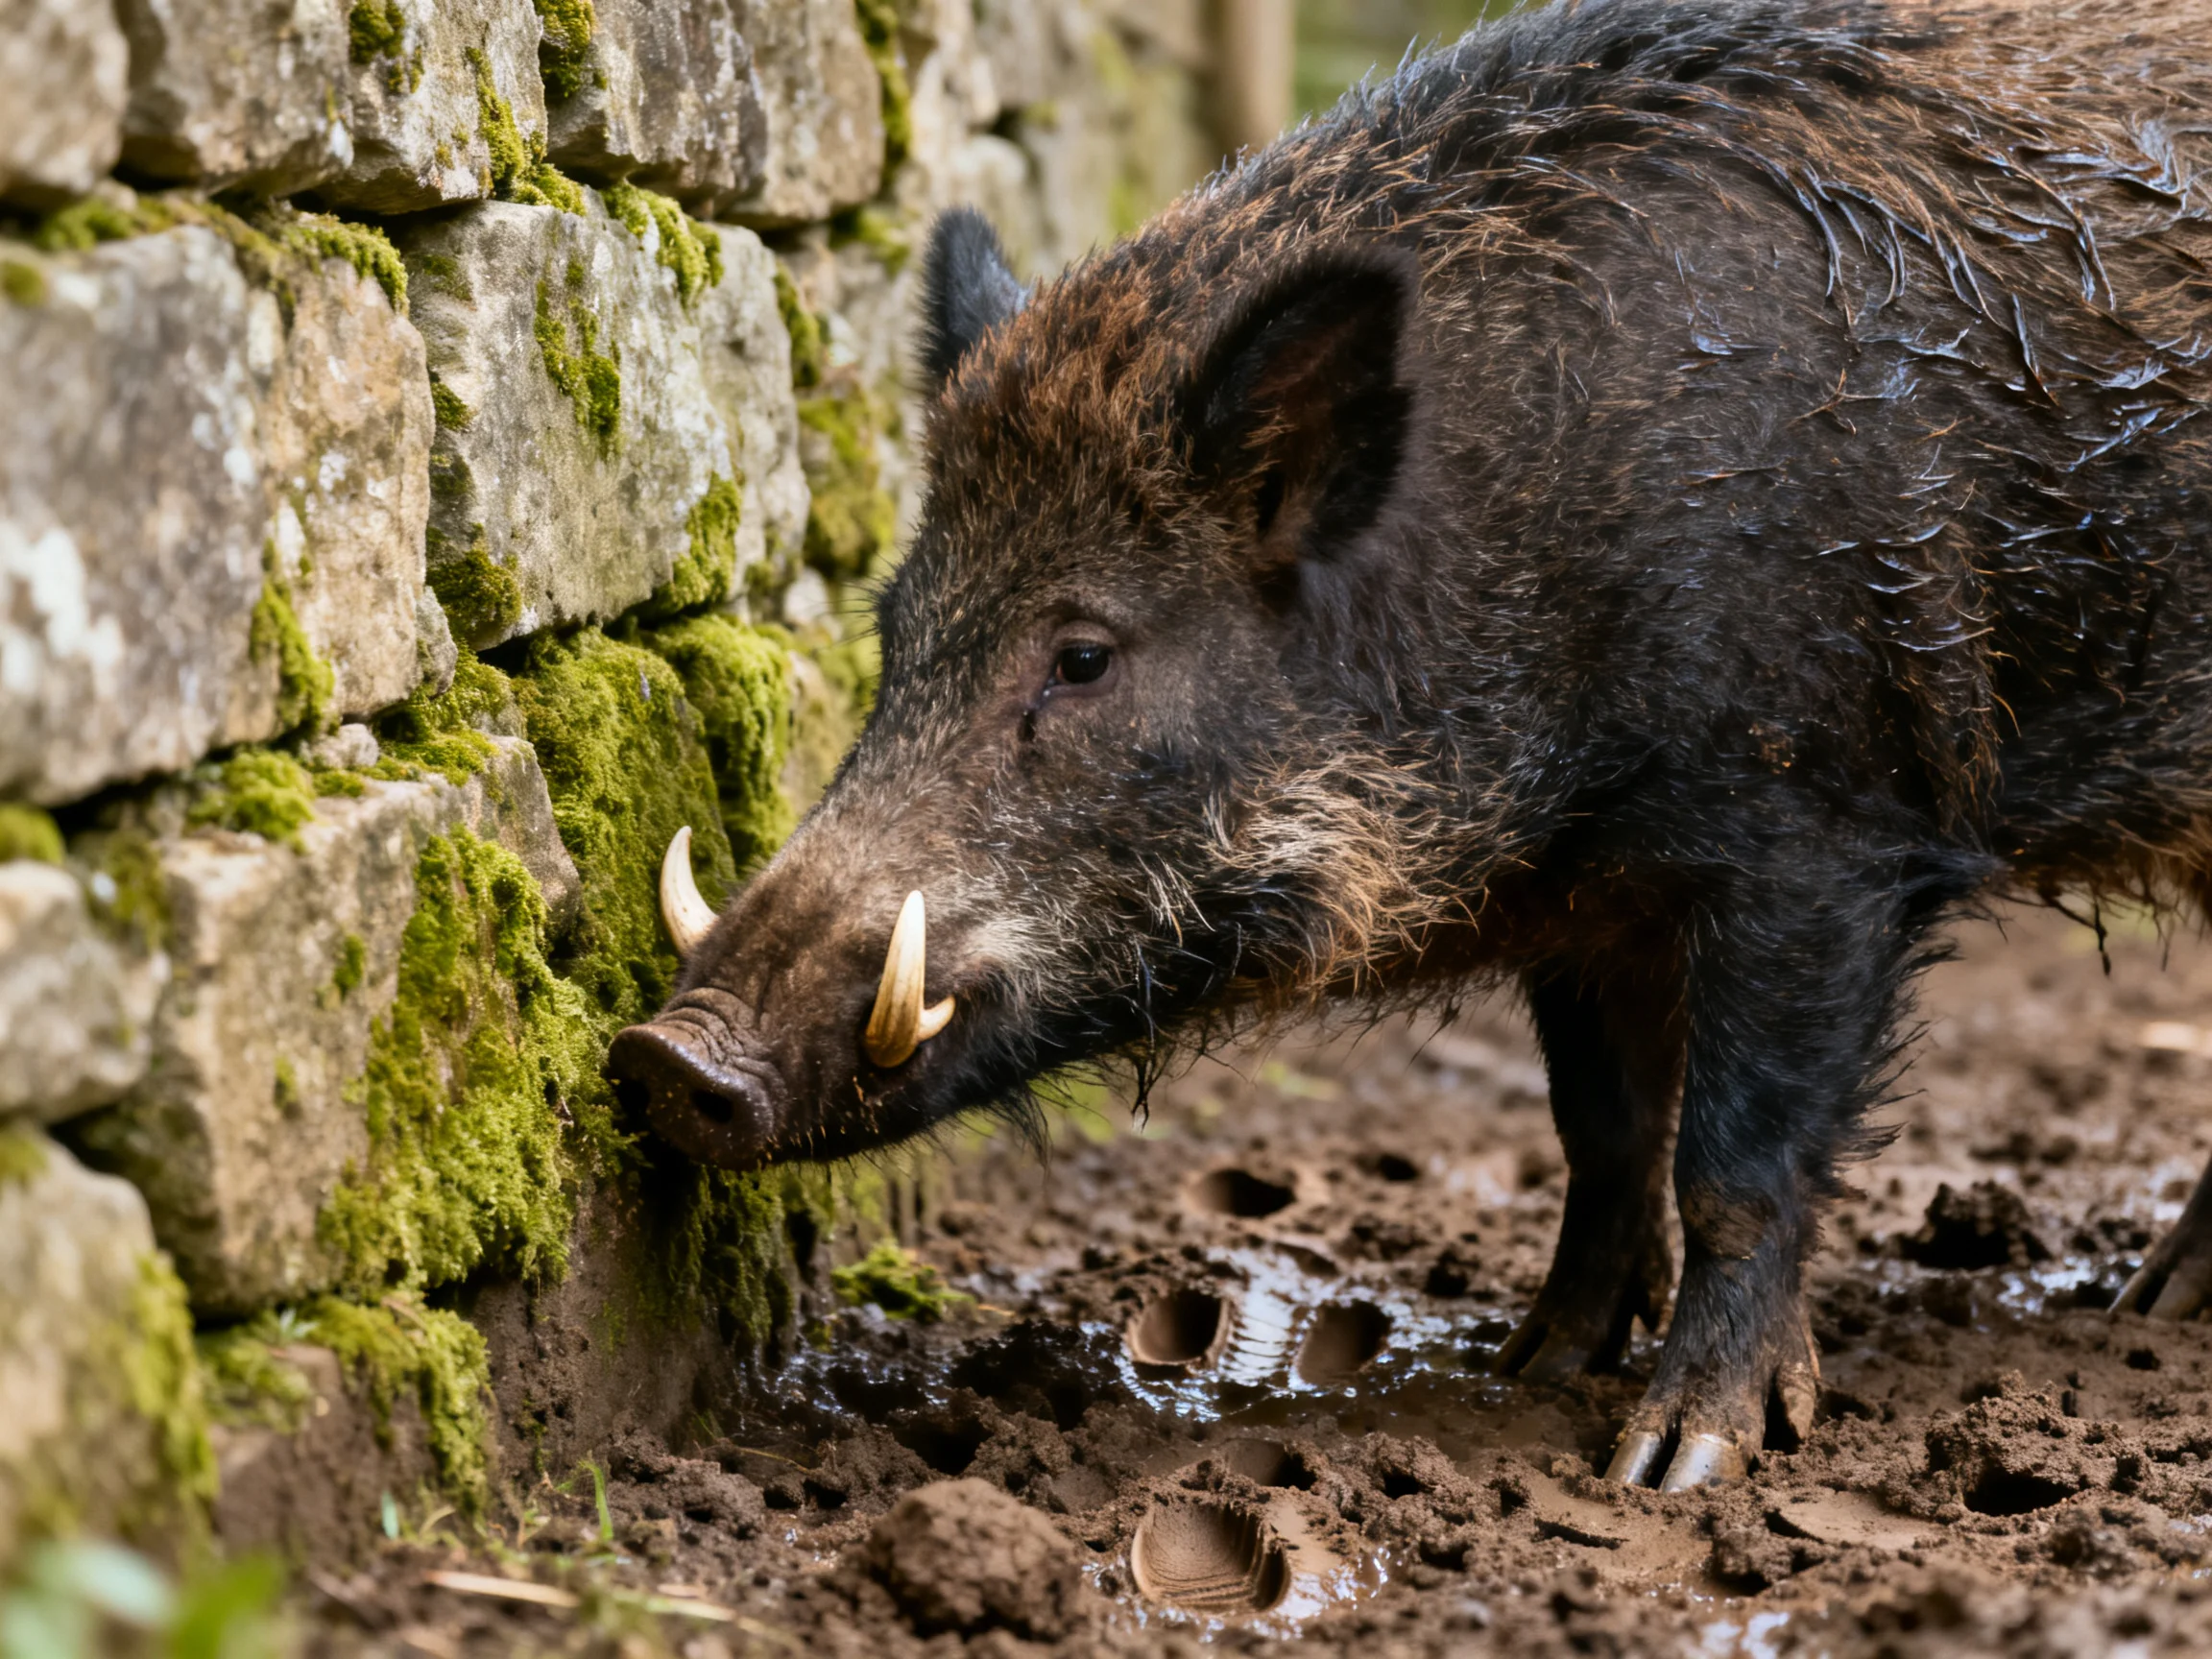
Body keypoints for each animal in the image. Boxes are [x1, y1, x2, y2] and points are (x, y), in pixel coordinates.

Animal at [609, 0, 2212, 1489]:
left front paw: (1674, 1461)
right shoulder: (1592, 900)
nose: (665, 1056)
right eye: (897, 629)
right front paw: (1530, 1368)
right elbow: (1602, 1133)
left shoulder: (1823, 832)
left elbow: (1735, 1164)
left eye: (1082, 656)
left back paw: (2149, 1312)